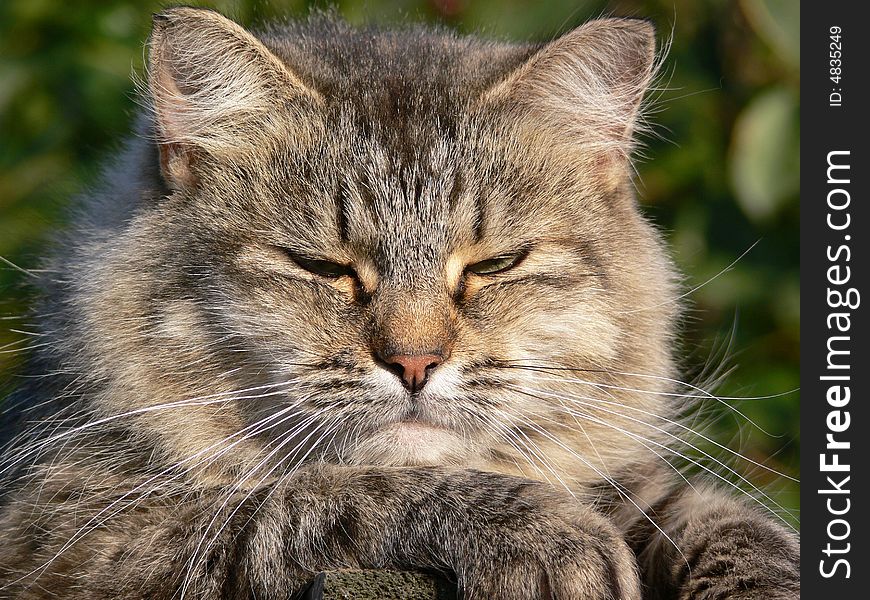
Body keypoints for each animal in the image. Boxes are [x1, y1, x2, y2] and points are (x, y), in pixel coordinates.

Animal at [0, 5, 800, 600]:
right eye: (321, 267)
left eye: (494, 265)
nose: (414, 364)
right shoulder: (75, 535)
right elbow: (330, 492)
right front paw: (555, 537)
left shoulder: (633, 480)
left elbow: (726, 520)